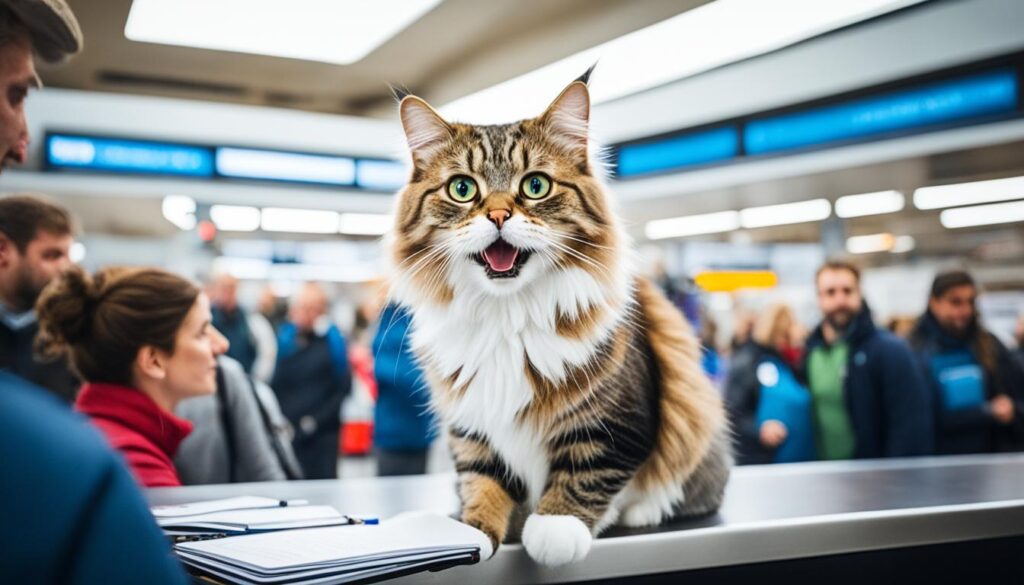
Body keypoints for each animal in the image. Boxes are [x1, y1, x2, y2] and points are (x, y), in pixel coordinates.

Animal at [387, 69, 733, 569]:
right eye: (462, 189)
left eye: (535, 186)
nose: (498, 215)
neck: (506, 315)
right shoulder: (472, 423)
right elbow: (481, 482)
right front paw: (470, 530)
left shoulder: (616, 421)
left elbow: (587, 470)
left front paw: (555, 527)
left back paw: (646, 510)